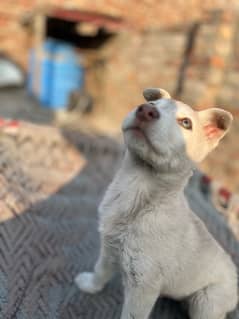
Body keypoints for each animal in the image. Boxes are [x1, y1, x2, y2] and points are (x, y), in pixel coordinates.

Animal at [75, 88, 237, 319]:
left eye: (186, 123)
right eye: (152, 103)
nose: (145, 110)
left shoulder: (143, 286)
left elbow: (131, 315)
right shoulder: (108, 248)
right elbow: (101, 270)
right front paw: (90, 285)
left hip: (207, 301)